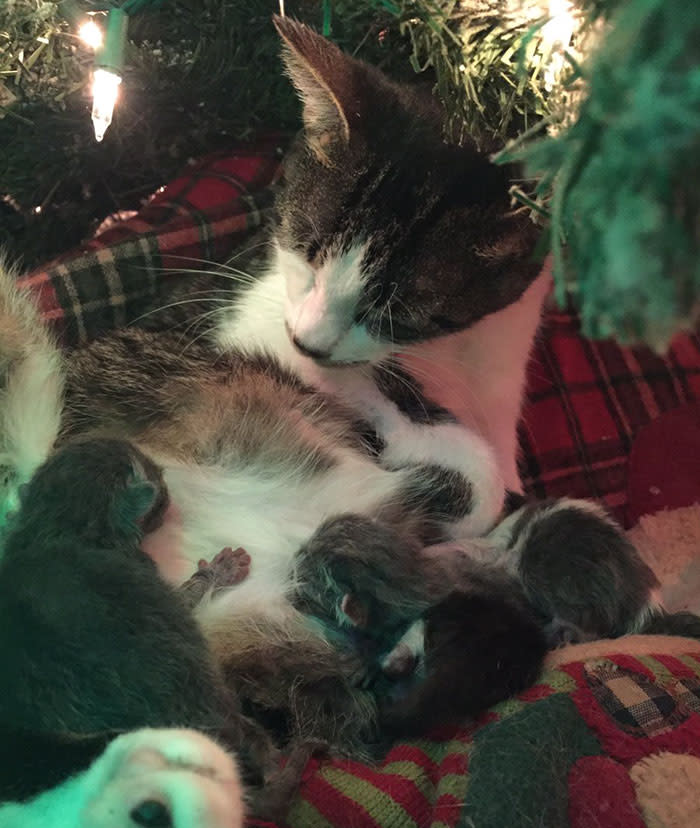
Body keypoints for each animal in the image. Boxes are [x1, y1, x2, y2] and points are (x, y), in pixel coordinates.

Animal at [0, 16, 668, 828]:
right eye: (307, 249)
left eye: (403, 311)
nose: (309, 343)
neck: (442, 363)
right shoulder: (239, 331)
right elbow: (447, 453)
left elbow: (479, 469)